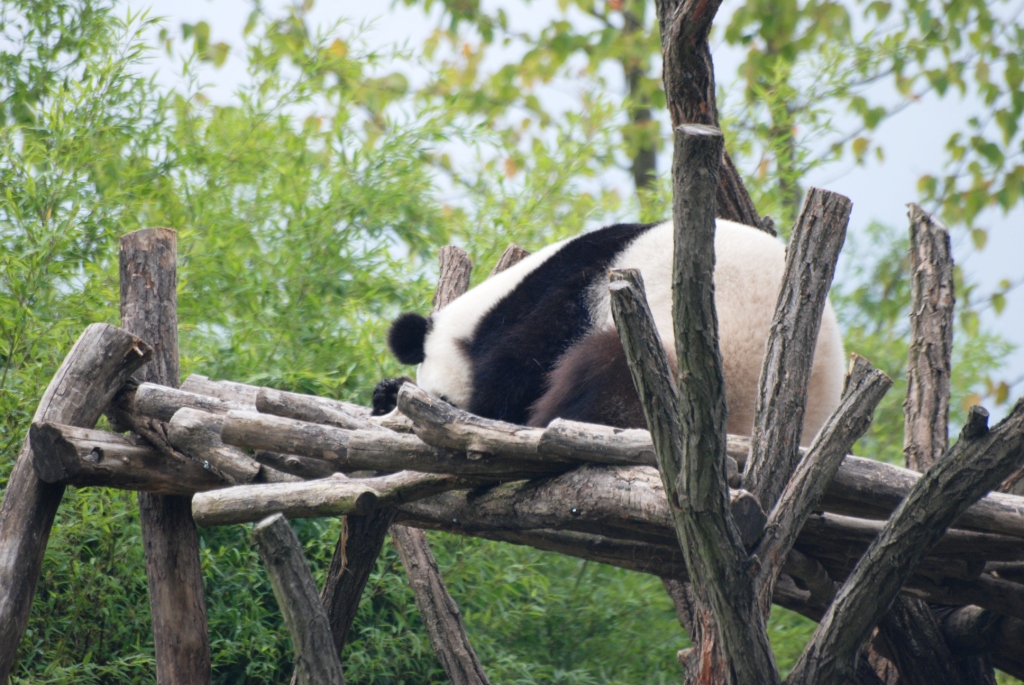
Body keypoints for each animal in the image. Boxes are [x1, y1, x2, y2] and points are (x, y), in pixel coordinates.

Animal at [377, 219, 846, 445]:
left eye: (442, 401)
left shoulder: (566, 298)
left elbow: (516, 374)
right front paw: (387, 391)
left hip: (703, 368)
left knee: (606, 375)